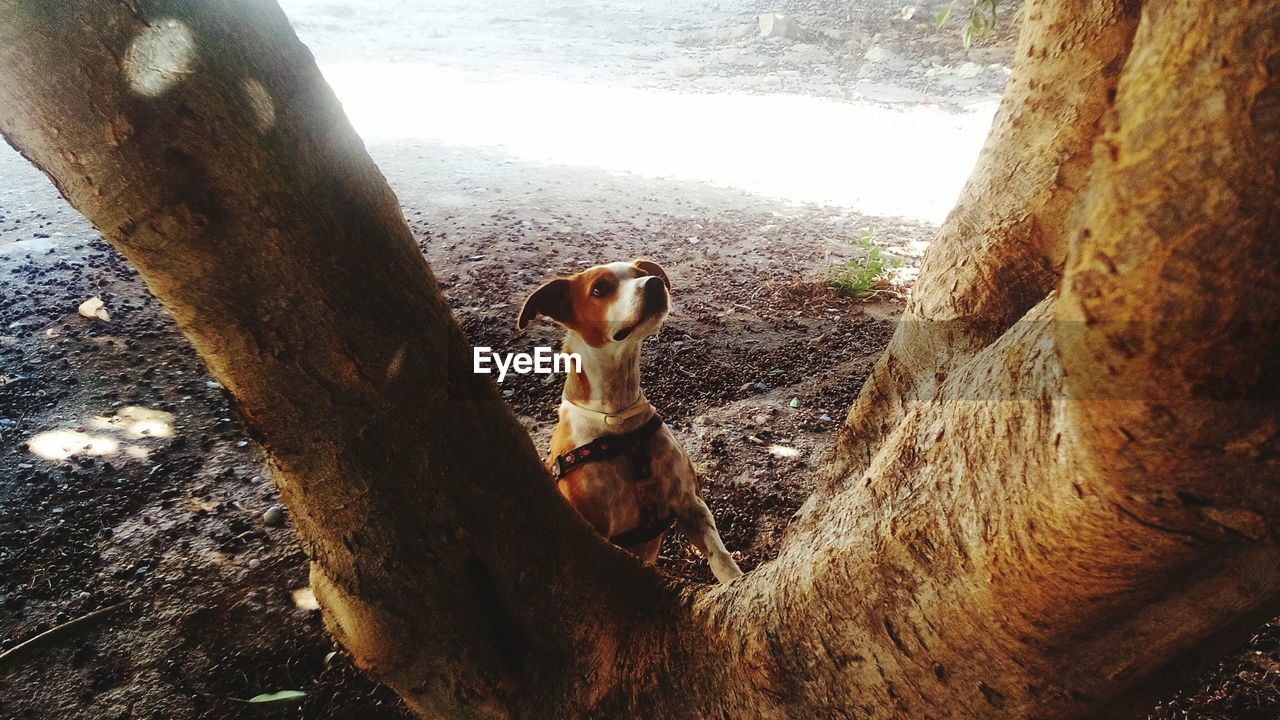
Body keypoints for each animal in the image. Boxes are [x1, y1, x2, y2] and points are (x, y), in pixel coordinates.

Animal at [517, 258, 747, 584]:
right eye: (600, 288)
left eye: (641, 273)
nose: (654, 283)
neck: (617, 418)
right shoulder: (597, 531)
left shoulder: (690, 503)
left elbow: (719, 555)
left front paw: (734, 580)